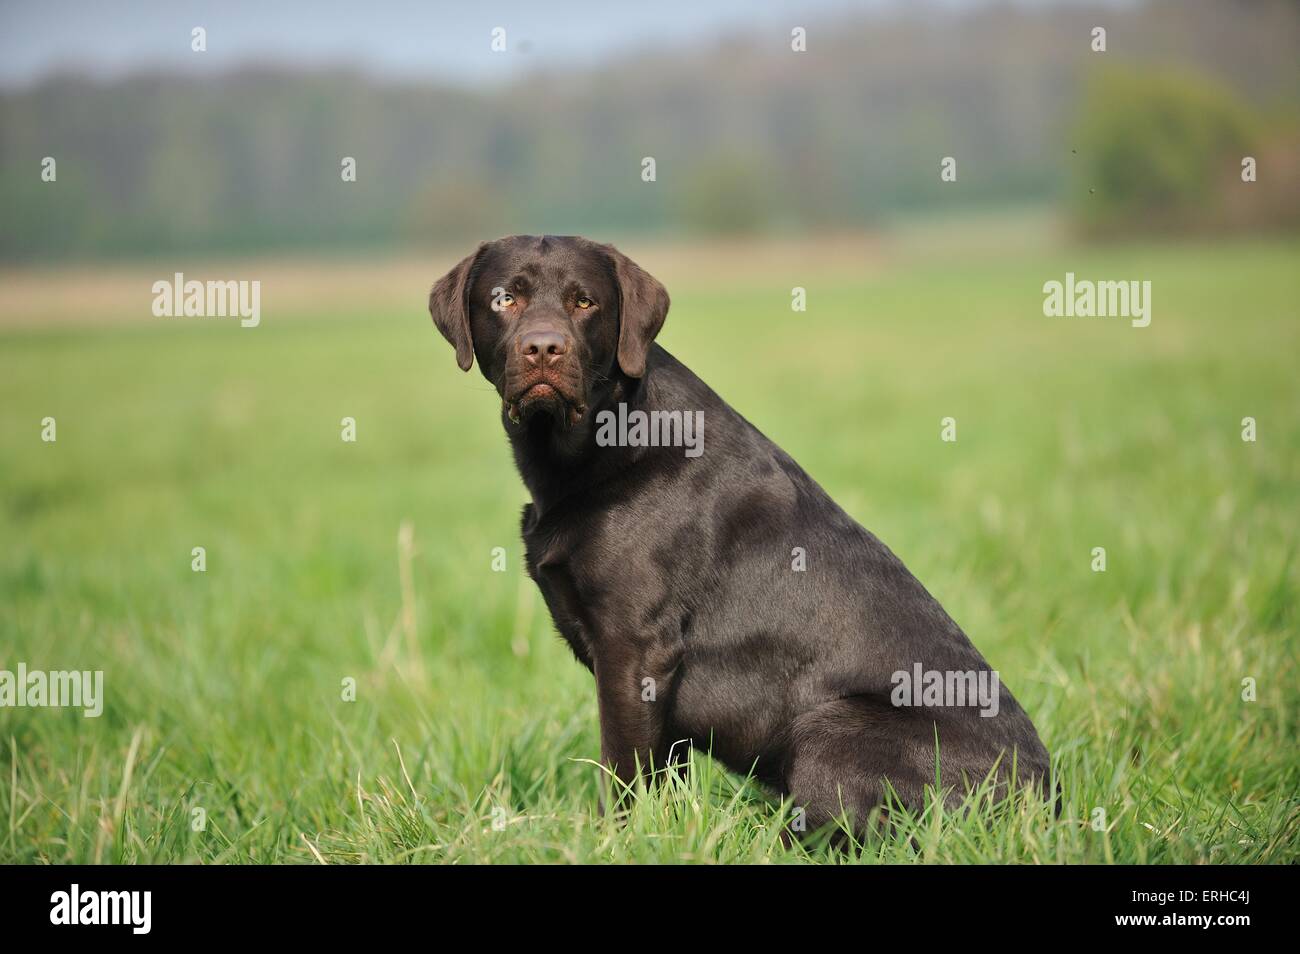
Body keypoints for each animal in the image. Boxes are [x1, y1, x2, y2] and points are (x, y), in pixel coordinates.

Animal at [431, 235, 1050, 831]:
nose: (543, 348)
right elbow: (663, 777)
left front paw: (610, 839)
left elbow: (623, 774)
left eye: (585, 302)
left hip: (831, 728)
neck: (604, 439)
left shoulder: (635, 648)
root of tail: (1045, 799)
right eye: (503, 299)